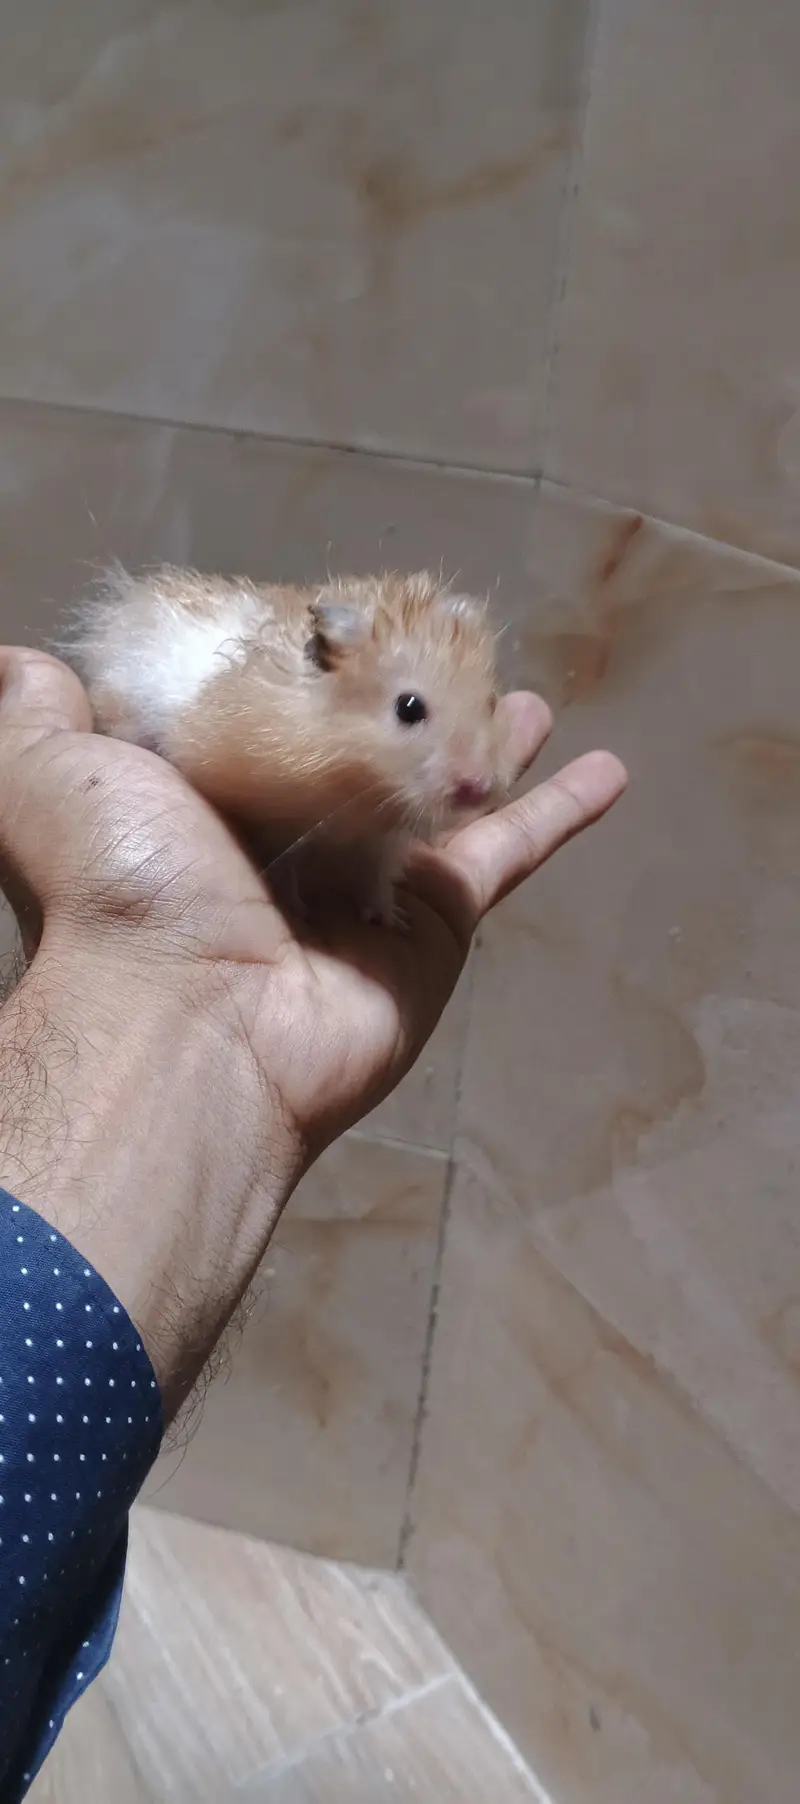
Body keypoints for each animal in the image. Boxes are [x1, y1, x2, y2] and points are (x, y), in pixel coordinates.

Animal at [69, 565, 515, 924]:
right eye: (408, 708)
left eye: (492, 703)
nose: (478, 789)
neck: (359, 782)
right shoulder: (272, 818)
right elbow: (282, 868)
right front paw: (299, 912)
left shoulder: (382, 836)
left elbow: (376, 876)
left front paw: (389, 920)